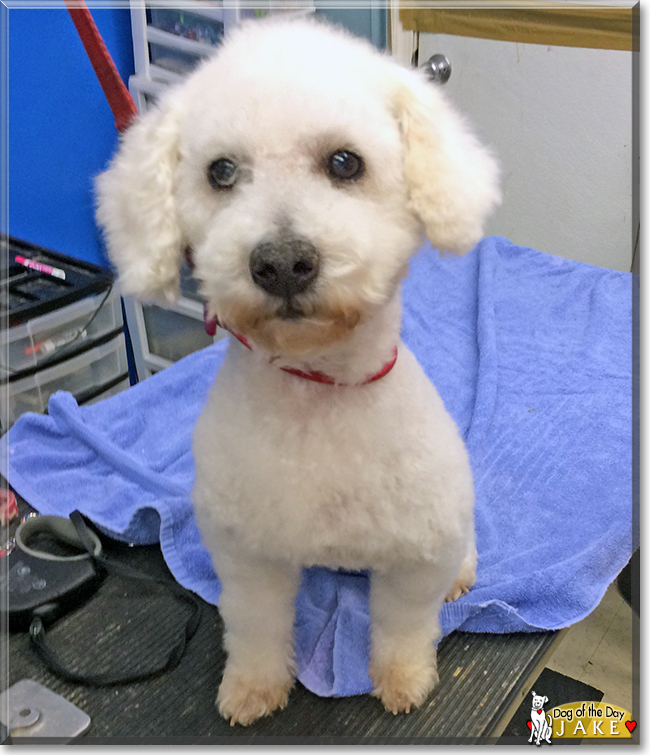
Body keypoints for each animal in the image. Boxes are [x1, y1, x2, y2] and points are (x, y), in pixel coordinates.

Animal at [96, 16, 498, 728]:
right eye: (221, 171)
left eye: (345, 162)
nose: (281, 262)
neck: (319, 391)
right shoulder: (246, 557)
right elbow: (256, 627)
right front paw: (254, 687)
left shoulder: (414, 556)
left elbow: (402, 625)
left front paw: (402, 680)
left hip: (452, 515)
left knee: (465, 542)